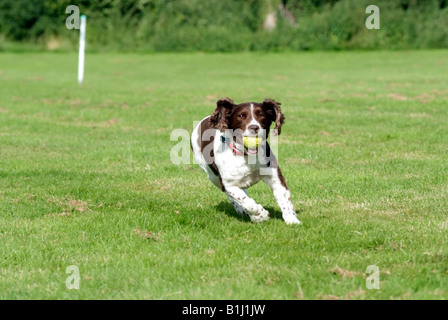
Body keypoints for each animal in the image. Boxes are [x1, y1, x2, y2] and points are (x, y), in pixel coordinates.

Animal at [192, 97, 300, 225]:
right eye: (241, 115)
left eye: (261, 114)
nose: (254, 127)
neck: (246, 155)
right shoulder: (228, 184)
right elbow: (246, 202)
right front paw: (260, 216)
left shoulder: (274, 176)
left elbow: (284, 197)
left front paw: (292, 220)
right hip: (212, 176)